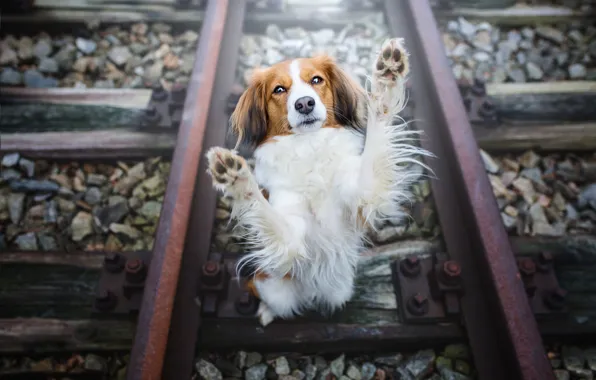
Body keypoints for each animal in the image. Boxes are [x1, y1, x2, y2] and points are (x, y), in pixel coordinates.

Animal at [205, 37, 428, 326]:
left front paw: (387, 78)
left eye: (316, 80)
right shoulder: (291, 237)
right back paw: (266, 312)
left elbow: (378, 127)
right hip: (273, 286)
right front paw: (236, 177)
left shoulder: (363, 194)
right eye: (279, 89)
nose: (304, 104)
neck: (308, 148)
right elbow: (261, 208)